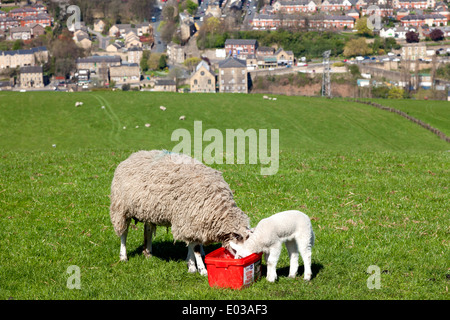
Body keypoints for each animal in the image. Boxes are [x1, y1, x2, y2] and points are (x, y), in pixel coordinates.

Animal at [108, 150, 250, 276]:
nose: (244, 259)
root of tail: (135, 154)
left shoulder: (193, 221)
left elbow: (192, 244)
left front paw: (191, 263)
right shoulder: (188, 220)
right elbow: (194, 247)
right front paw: (199, 269)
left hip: (147, 209)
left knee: (147, 229)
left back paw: (148, 252)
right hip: (121, 208)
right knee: (124, 233)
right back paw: (123, 256)